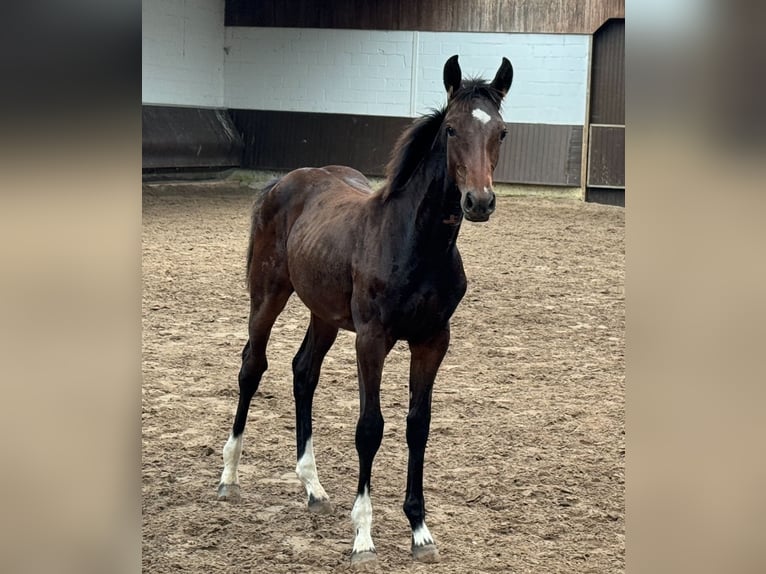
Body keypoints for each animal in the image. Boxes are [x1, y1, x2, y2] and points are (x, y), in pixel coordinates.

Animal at [218, 55, 516, 568]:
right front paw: (363, 537)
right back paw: (229, 476)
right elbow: (370, 428)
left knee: (304, 371)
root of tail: (284, 180)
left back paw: (313, 488)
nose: (479, 202)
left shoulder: (433, 340)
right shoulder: (372, 339)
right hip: (268, 294)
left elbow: (418, 425)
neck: (416, 244)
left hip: (323, 313)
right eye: (451, 129)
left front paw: (420, 530)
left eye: (500, 131)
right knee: (252, 366)